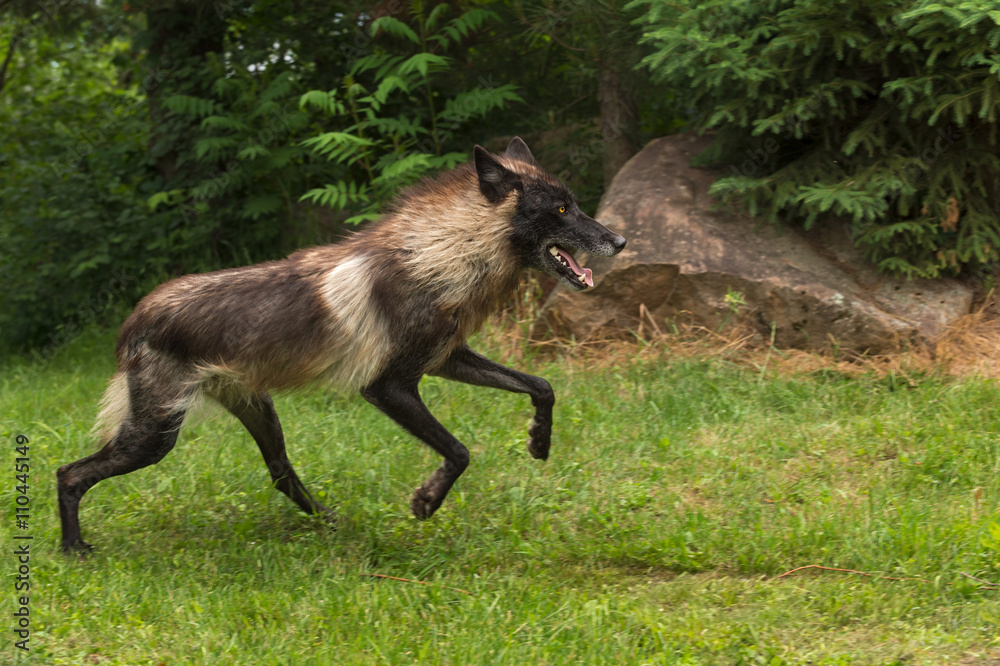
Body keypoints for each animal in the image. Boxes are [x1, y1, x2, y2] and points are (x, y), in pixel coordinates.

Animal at [57, 137, 626, 552]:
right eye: (562, 209)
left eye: (575, 205)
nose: (620, 242)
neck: (441, 254)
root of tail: (136, 318)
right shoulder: (388, 387)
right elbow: (460, 451)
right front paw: (428, 501)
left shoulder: (444, 361)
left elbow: (542, 385)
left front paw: (539, 442)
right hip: (153, 437)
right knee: (68, 473)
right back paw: (73, 550)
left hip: (258, 416)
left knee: (281, 475)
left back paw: (333, 526)